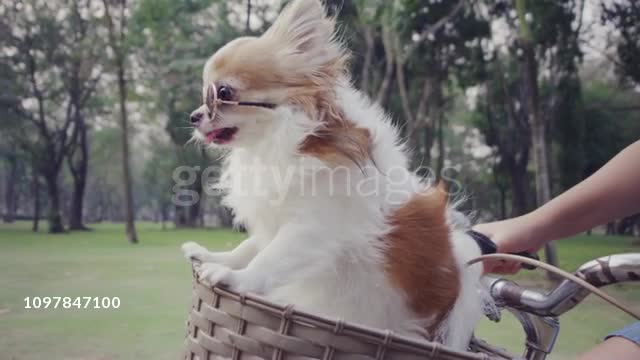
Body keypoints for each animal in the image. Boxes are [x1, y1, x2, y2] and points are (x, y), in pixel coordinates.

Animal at [182, 0, 482, 350]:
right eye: (205, 97)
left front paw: (234, 277)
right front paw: (213, 256)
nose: (194, 116)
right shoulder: (278, 217)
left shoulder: (312, 228)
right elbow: (250, 247)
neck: (283, 141)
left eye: (224, 92)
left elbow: (268, 259)